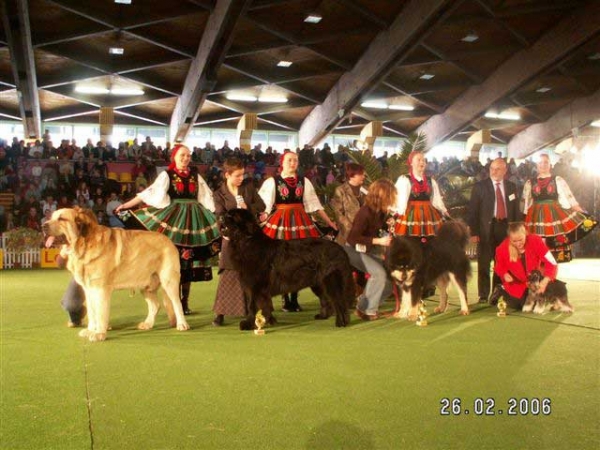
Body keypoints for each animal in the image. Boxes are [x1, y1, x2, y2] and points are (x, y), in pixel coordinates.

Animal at [43, 207, 189, 342]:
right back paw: (147, 324)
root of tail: (169, 241)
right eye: (52, 217)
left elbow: (100, 312)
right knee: (155, 305)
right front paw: (90, 330)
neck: (84, 244)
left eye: (62, 219)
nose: (43, 225)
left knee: (177, 303)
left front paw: (99, 334)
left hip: (169, 281)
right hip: (146, 285)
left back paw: (182, 324)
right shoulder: (89, 289)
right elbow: (92, 312)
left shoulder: (101, 289)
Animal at [220, 208, 354, 330]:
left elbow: (252, 306)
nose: (221, 216)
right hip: (318, 282)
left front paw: (248, 324)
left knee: (339, 301)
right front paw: (269, 320)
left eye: (232, 216)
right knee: (326, 299)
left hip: (331, 280)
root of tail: (340, 249)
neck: (246, 241)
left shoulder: (256, 286)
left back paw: (341, 322)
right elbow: (264, 305)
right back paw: (323, 316)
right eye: (227, 213)